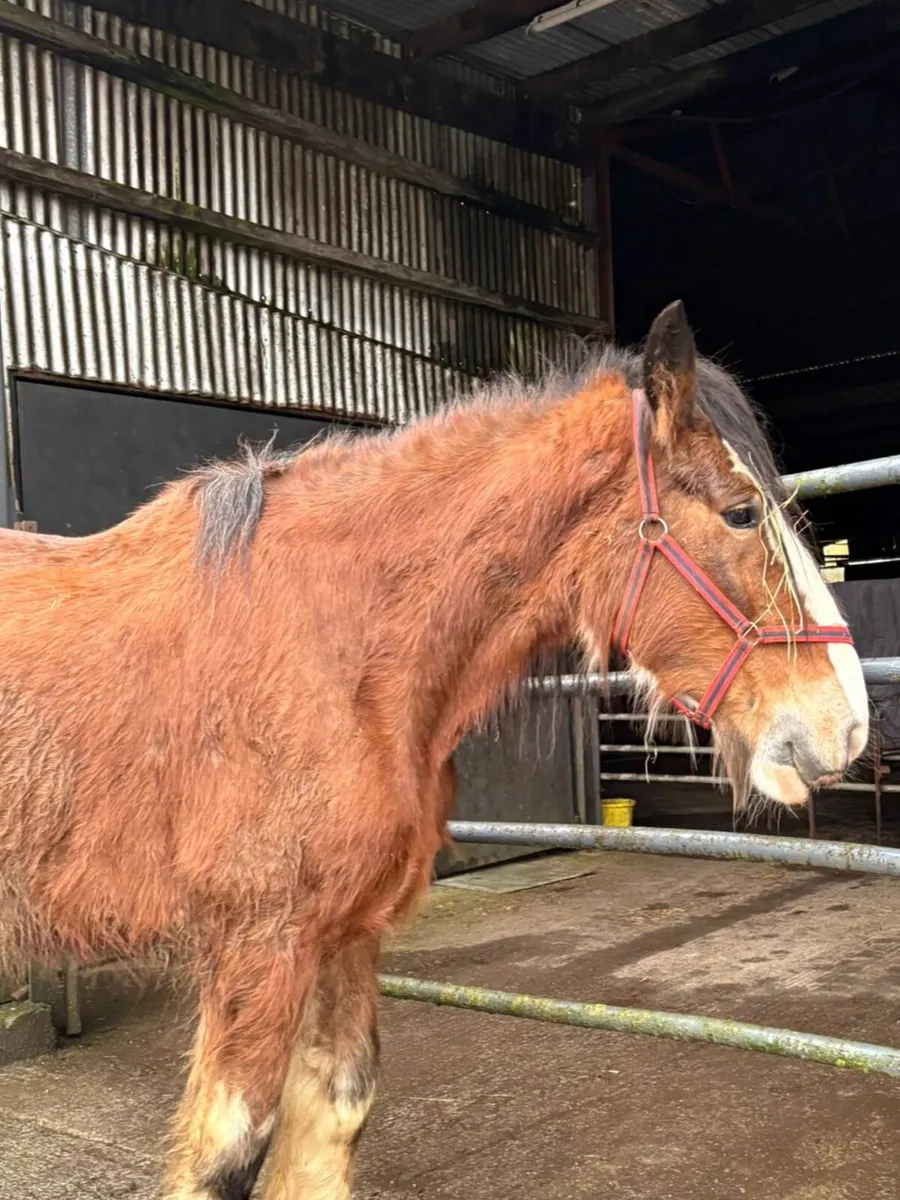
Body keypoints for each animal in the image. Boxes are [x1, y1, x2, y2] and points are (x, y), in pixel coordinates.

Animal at [0, 301, 868, 1199]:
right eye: (741, 512)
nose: (844, 724)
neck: (335, 647)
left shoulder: (344, 934)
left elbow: (334, 1114)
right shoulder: (260, 944)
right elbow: (224, 1156)